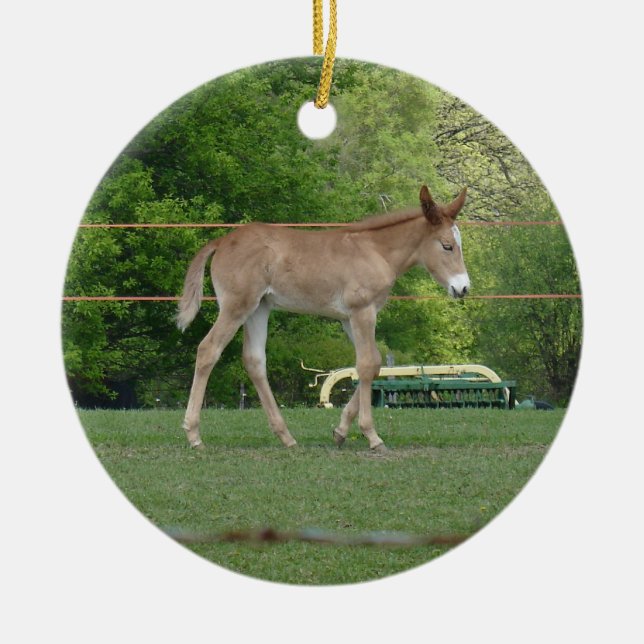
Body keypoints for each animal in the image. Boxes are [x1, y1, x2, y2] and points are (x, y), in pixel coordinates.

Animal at [176, 184, 470, 452]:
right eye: (447, 246)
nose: (463, 288)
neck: (375, 251)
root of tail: (221, 242)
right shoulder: (362, 312)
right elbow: (366, 365)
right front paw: (372, 436)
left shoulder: (350, 319)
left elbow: (374, 364)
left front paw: (340, 431)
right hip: (236, 307)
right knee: (208, 350)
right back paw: (193, 435)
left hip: (259, 309)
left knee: (254, 360)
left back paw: (286, 437)